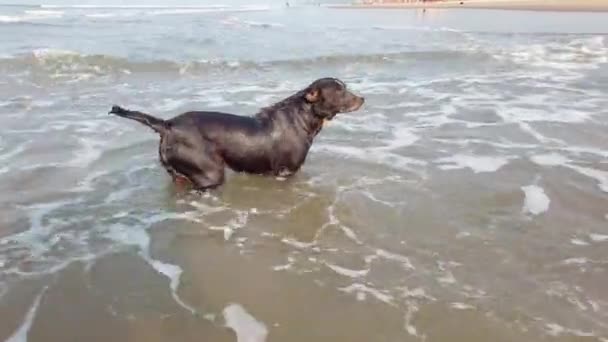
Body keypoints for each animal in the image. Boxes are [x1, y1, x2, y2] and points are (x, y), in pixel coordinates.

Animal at [108, 77, 364, 190]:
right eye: (340, 92)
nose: (362, 98)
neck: (302, 116)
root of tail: (167, 124)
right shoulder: (285, 172)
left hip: (179, 173)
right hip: (209, 172)